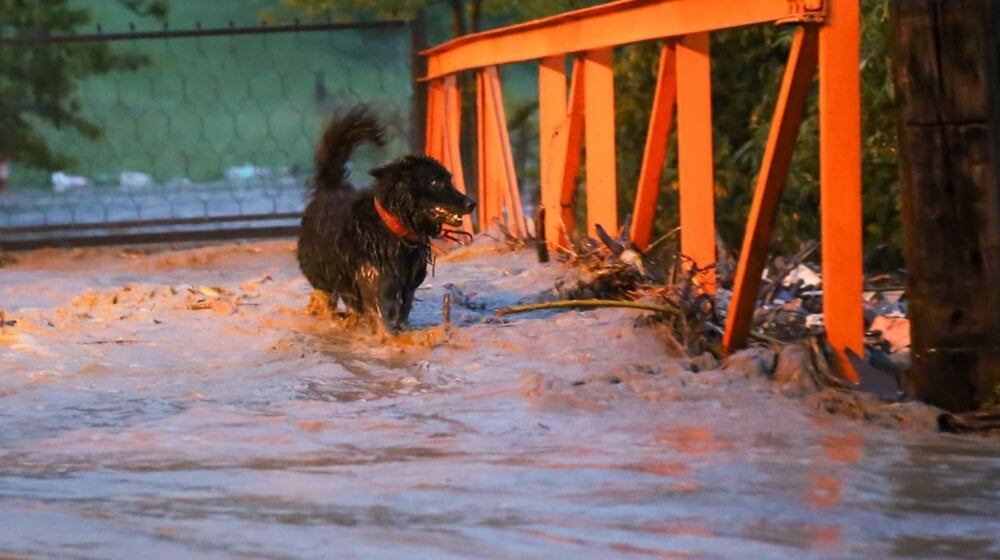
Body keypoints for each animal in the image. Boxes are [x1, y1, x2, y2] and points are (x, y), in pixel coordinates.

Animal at [296, 106, 476, 332]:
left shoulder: (407, 288)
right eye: (435, 182)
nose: (472, 203)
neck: (394, 230)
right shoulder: (378, 288)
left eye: (449, 180)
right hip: (324, 277)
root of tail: (330, 188)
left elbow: (402, 315)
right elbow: (385, 322)